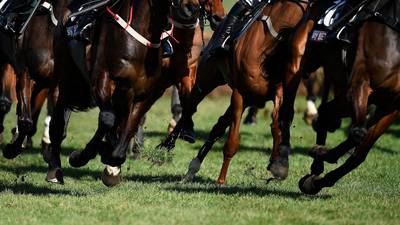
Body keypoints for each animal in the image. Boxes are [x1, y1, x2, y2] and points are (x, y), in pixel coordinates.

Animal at [45, 0, 202, 185]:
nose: (190, 9)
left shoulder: (145, 93)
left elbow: (128, 127)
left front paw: (111, 159)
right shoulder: (104, 79)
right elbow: (107, 119)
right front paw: (80, 157)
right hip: (64, 76)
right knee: (59, 123)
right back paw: (55, 169)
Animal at [159, 0, 310, 184]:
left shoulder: (277, 93)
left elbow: (276, 126)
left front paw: (277, 163)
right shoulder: (240, 94)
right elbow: (232, 142)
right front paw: (221, 180)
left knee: (218, 125)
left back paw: (192, 167)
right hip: (207, 81)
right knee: (190, 109)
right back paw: (169, 144)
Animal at [298, 2, 400, 193]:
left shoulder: (392, 105)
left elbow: (360, 148)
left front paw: (317, 178)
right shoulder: (359, 84)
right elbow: (358, 133)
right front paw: (321, 153)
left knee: (326, 112)